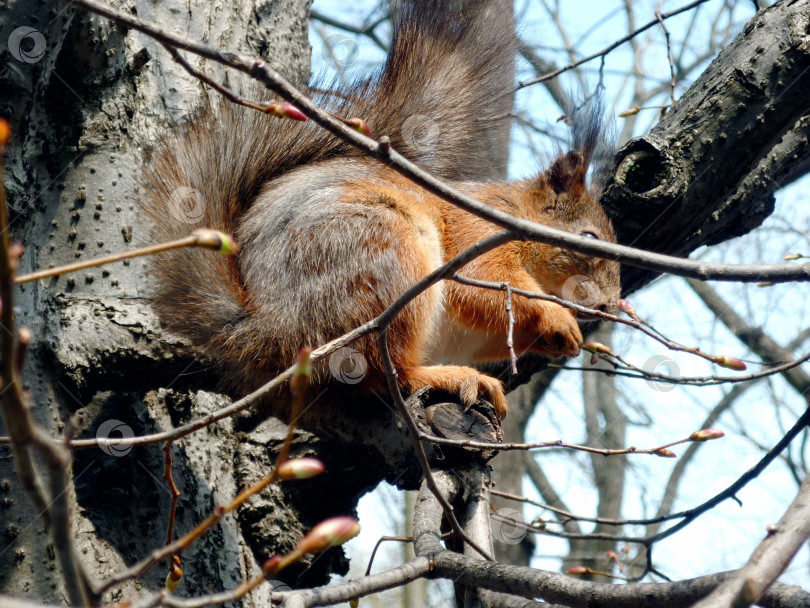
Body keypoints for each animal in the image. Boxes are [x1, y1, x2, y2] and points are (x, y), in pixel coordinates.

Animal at [139, 0, 620, 422]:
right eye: (589, 237)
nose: (610, 305)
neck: (514, 212)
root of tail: (269, 332)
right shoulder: (477, 233)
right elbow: (483, 283)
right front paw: (559, 318)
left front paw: (561, 337)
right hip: (383, 260)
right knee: (384, 372)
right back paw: (449, 377)